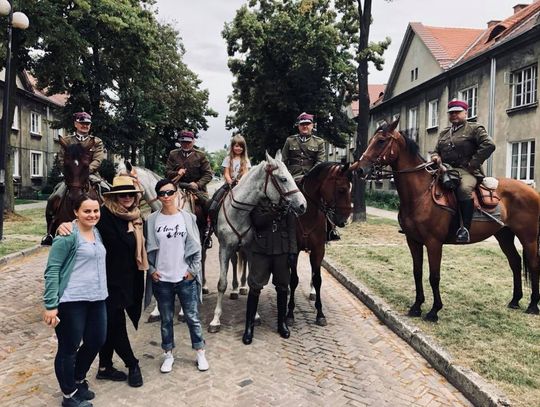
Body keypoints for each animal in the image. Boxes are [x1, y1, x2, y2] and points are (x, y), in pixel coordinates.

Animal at [208, 151, 306, 334]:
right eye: (283, 179)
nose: (303, 205)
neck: (239, 212)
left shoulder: (250, 248)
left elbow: (254, 280)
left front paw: (255, 315)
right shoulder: (224, 248)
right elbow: (221, 284)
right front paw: (215, 320)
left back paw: (241, 287)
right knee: (234, 262)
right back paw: (235, 289)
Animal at [286, 163, 354, 326]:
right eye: (341, 189)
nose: (345, 220)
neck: (306, 212)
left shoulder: (318, 250)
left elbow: (318, 280)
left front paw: (320, 313)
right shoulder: (294, 250)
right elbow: (294, 279)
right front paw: (290, 313)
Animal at [354, 118, 540, 322]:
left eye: (381, 141)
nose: (359, 169)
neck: (421, 194)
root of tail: (531, 190)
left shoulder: (434, 243)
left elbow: (434, 276)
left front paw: (434, 311)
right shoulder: (413, 241)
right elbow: (417, 272)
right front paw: (416, 306)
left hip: (528, 237)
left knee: (533, 264)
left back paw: (533, 305)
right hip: (504, 235)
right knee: (515, 262)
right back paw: (515, 300)